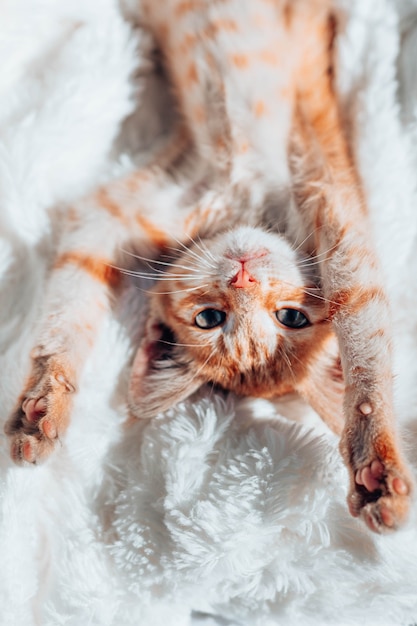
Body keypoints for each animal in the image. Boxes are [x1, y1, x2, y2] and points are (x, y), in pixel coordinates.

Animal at [4, 1, 412, 536]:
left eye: (291, 318)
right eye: (209, 319)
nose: (243, 275)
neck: (246, 203)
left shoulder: (338, 214)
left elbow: (364, 329)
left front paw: (376, 461)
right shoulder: (110, 214)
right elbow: (68, 308)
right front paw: (45, 399)